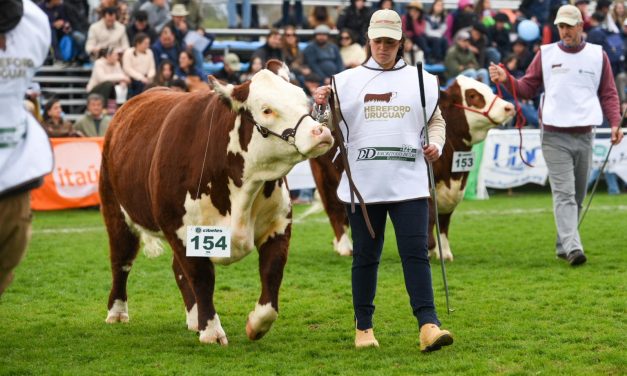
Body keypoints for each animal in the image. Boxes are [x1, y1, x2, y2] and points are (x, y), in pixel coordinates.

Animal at [100, 61, 334, 344]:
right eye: (266, 109)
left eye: (303, 100)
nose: (320, 132)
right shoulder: (183, 230)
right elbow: (202, 279)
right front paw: (212, 331)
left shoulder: (278, 225)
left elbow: (272, 274)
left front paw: (255, 325)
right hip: (115, 211)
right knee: (121, 261)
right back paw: (117, 312)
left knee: (177, 270)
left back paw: (193, 319)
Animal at [312, 75, 516, 260]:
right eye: (472, 95)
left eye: (489, 89)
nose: (509, 107)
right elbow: (430, 218)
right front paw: (430, 248)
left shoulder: (453, 190)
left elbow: (444, 220)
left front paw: (445, 252)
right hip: (326, 180)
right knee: (335, 211)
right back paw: (344, 247)